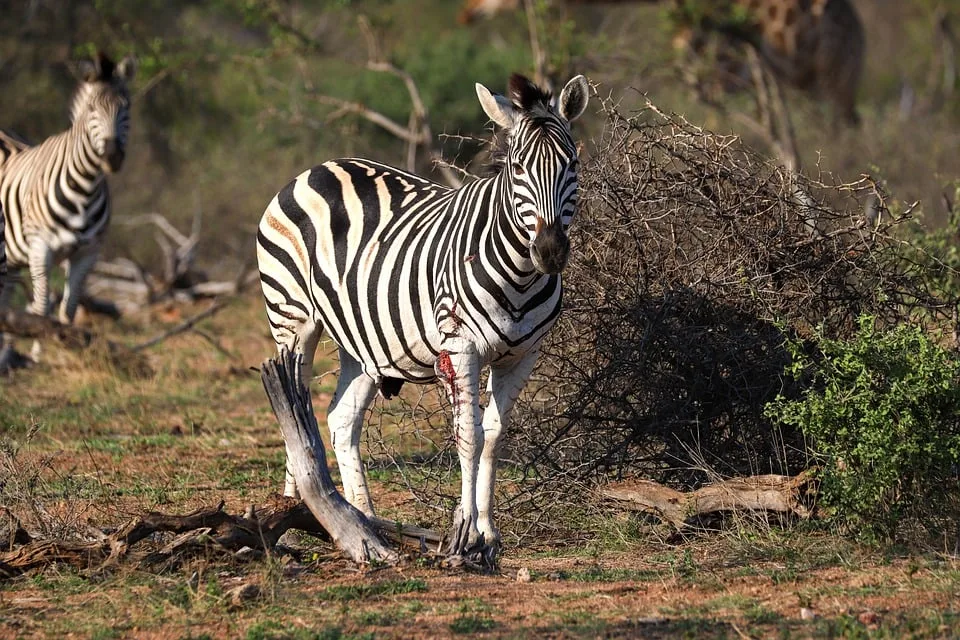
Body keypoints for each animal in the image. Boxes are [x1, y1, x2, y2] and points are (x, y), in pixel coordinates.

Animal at [0, 52, 136, 332]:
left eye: (126, 107)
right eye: (92, 109)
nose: (113, 157)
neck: (85, 188)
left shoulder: (88, 254)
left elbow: (68, 312)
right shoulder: (40, 249)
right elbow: (41, 312)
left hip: (11, 260)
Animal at [258, 71, 588, 560]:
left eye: (572, 165)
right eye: (516, 169)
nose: (550, 252)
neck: (521, 274)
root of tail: (318, 168)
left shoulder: (522, 356)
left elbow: (494, 436)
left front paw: (489, 533)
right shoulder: (461, 347)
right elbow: (469, 436)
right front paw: (466, 534)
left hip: (363, 341)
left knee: (340, 420)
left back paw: (364, 521)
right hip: (292, 320)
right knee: (293, 411)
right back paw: (292, 517)